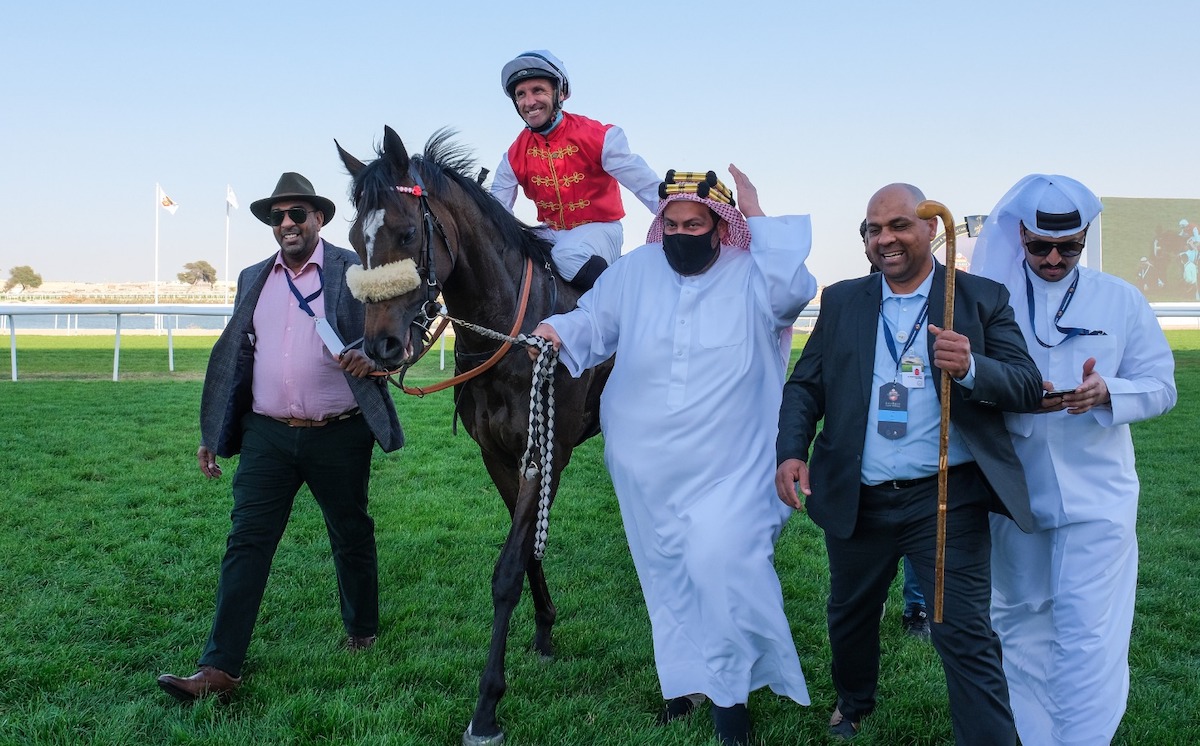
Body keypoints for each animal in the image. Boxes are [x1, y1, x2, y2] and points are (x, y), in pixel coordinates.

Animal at [338, 128, 614, 746]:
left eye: (406, 233)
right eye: (351, 237)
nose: (380, 346)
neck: (513, 333)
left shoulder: (546, 453)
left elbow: (508, 570)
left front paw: (487, 706)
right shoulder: (497, 455)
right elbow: (527, 551)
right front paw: (544, 633)